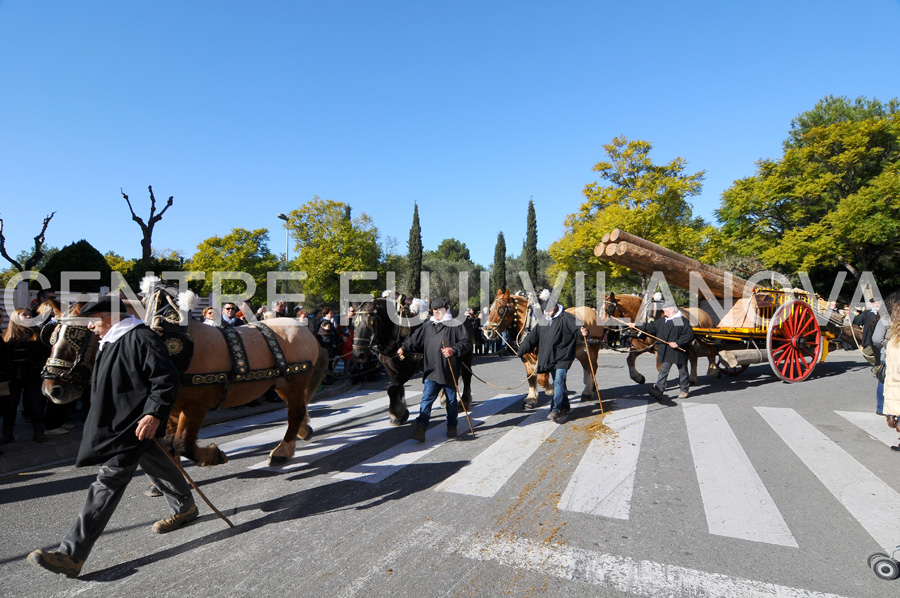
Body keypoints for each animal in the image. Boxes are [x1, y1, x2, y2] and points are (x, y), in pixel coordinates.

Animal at [40, 302, 326, 466]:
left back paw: (283, 450)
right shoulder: (169, 407)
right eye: (52, 336)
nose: (52, 389)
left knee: (295, 412)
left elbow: (182, 443)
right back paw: (303, 432)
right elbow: (168, 441)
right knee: (297, 409)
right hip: (280, 384)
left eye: (78, 335)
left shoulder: (196, 405)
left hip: (294, 381)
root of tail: (305, 329)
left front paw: (213, 456)